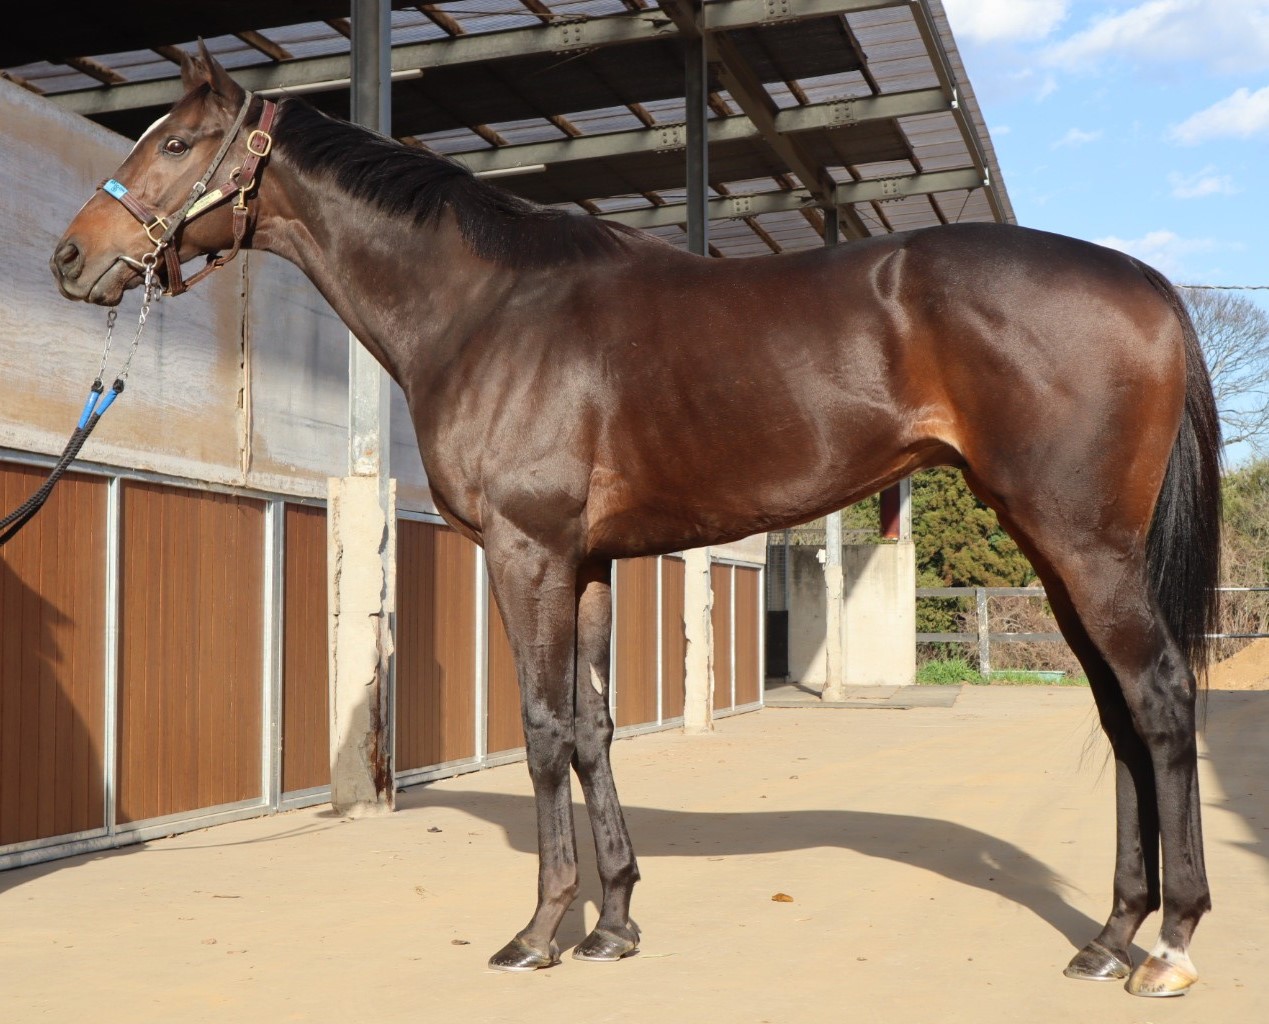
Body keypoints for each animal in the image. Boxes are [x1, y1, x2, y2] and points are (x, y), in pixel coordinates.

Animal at [50, 44, 1221, 997]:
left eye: (178, 141)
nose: (69, 257)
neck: (486, 308)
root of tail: (1149, 282)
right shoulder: (589, 562)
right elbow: (593, 730)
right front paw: (612, 922)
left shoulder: (526, 554)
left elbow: (540, 730)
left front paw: (539, 931)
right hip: (1056, 552)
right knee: (1118, 716)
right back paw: (1109, 935)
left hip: (1083, 546)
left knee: (1160, 701)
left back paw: (1170, 944)